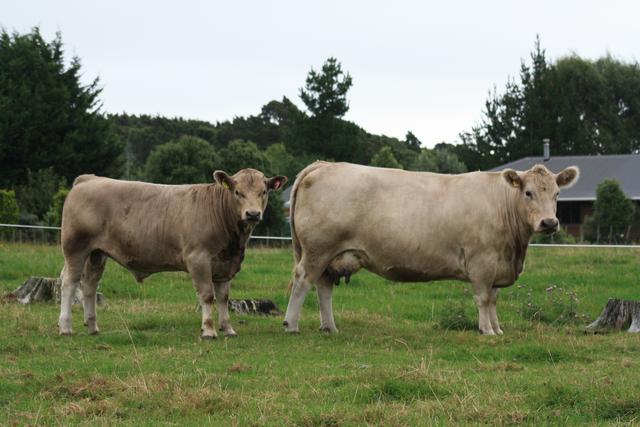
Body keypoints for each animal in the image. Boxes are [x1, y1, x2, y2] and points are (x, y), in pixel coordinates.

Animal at [58, 169, 287, 338]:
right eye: (237, 192)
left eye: (263, 192)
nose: (253, 214)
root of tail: (89, 179)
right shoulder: (198, 259)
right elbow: (207, 295)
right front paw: (209, 330)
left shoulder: (225, 265)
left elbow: (223, 297)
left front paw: (228, 329)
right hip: (75, 248)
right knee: (69, 283)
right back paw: (65, 327)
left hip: (97, 254)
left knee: (89, 285)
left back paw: (92, 327)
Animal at [282, 161, 579, 335]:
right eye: (528, 193)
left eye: (557, 194)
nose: (549, 222)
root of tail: (324, 165)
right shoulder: (482, 262)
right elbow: (483, 299)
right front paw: (486, 330)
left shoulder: (497, 265)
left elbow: (494, 299)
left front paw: (497, 328)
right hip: (318, 250)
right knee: (302, 280)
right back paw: (291, 325)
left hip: (330, 254)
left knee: (323, 286)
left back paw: (329, 327)